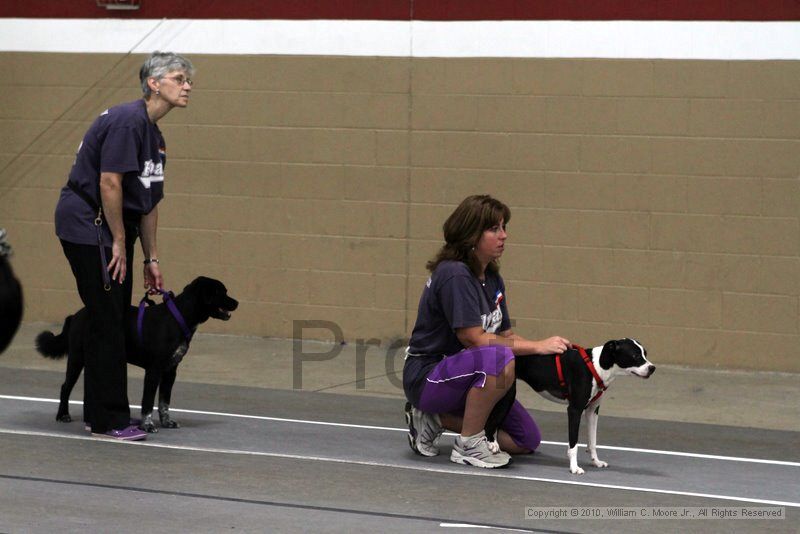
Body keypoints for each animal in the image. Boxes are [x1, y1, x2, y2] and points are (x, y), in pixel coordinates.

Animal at [35, 278, 238, 434]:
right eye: (221, 292)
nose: (237, 302)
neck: (178, 318)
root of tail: (75, 316)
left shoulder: (171, 370)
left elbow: (164, 401)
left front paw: (167, 422)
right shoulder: (154, 370)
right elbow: (147, 402)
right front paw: (147, 425)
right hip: (77, 358)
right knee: (65, 387)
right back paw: (63, 415)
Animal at [512, 342, 656, 476]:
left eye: (645, 354)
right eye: (635, 356)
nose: (652, 368)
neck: (596, 367)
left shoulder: (592, 411)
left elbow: (592, 442)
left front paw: (596, 461)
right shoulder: (574, 410)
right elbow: (573, 445)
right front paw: (574, 467)